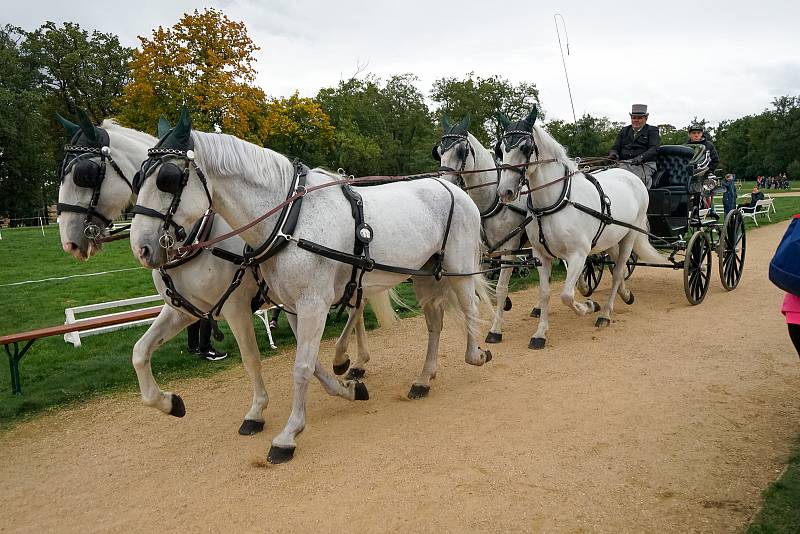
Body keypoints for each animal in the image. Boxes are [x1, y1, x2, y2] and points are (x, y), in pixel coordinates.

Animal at [54, 112, 396, 436]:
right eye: (138, 177)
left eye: (84, 174)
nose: (70, 242)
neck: (200, 232)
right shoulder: (184, 309)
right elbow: (140, 352)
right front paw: (168, 402)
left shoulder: (236, 306)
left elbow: (252, 358)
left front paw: (256, 412)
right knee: (358, 306)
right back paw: (353, 363)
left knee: (357, 307)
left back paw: (349, 360)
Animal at [130, 109, 494, 464]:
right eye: (137, 178)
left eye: (167, 179)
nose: (141, 248)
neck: (288, 220)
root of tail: (451, 187)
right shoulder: (284, 305)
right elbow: (141, 352)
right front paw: (347, 388)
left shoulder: (303, 304)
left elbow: (299, 367)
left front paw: (287, 434)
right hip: (421, 273)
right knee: (434, 322)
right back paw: (422, 378)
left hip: (457, 267)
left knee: (470, 307)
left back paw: (477, 353)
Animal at [434, 115, 536, 346]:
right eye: (439, 151)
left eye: (461, 151)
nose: (445, 182)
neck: (492, 201)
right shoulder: (482, 254)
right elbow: (479, 292)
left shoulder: (508, 250)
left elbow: (500, 289)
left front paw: (495, 329)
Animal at [496, 109, 664, 352]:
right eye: (500, 149)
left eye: (526, 148)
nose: (505, 192)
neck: (555, 202)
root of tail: (632, 176)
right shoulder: (541, 257)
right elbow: (545, 294)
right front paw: (540, 333)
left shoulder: (578, 255)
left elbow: (566, 295)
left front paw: (589, 305)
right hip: (611, 239)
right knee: (617, 267)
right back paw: (626, 294)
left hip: (629, 236)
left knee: (617, 272)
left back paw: (605, 314)